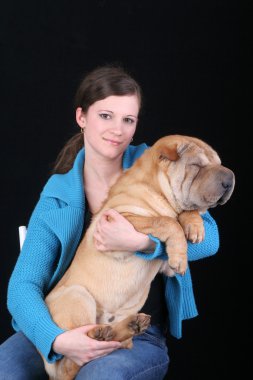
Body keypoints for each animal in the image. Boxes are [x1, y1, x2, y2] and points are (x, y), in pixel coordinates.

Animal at [42, 134, 234, 380]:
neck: (156, 189)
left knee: (117, 344)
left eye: (218, 163)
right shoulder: (120, 220)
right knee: (74, 358)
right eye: (197, 166)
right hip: (77, 296)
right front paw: (181, 243)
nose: (230, 177)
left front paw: (194, 226)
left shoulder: (163, 264)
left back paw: (128, 326)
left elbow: (182, 215)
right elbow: (166, 221)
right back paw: (98, 335)